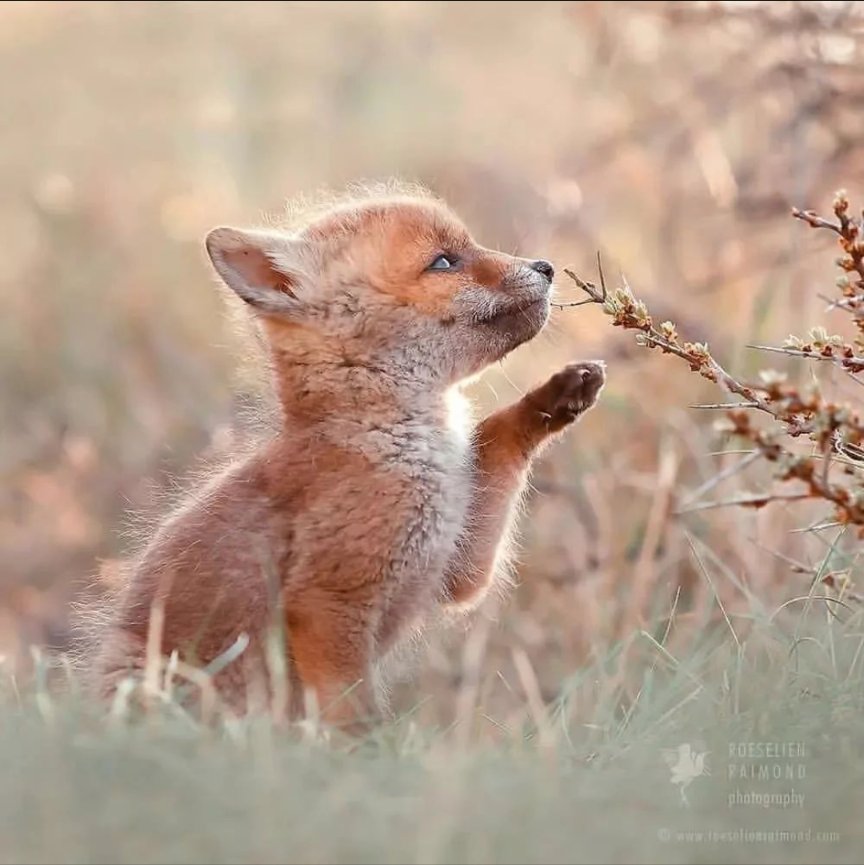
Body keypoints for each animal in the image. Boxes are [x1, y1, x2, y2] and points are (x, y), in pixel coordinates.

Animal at [92, 184, 606, 730]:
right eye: (444, 261)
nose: (545, 266)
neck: (395, 445)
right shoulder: (329, 601)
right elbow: (355, 718)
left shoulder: (454, 563)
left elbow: (496, 432)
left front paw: (555, 398)